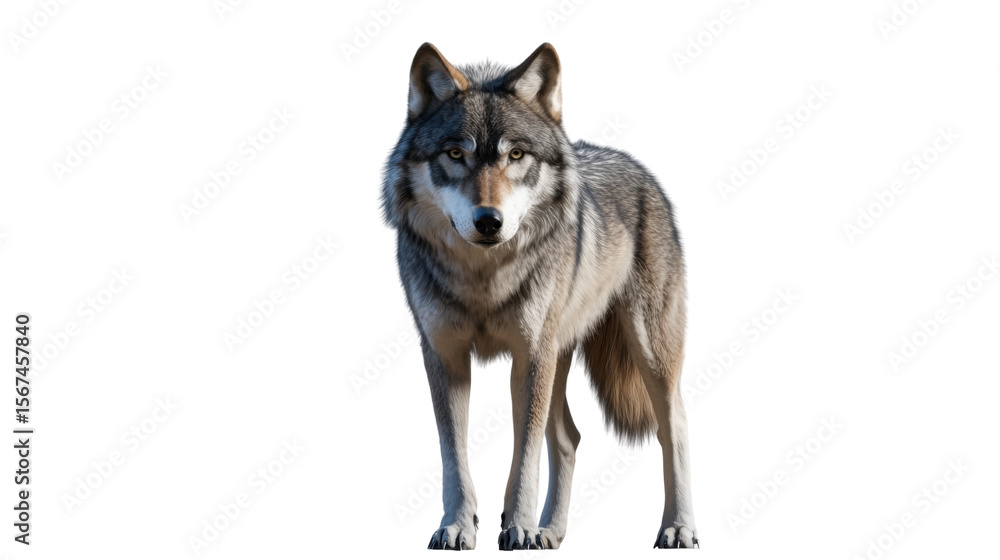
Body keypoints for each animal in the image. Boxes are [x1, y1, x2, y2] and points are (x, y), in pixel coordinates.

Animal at [381, 43, 698, 550]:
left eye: (516, 154)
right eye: (455, 153)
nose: (488, 221)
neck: (484, 278)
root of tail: (640, 169)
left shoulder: (530, 356)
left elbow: (524, 456)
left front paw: (519, 527)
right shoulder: (445, 355)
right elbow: (454, 457)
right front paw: (458, 526)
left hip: (646, 352)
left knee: (675, 429)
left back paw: (679, 527)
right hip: (560, 356)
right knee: (569, 437)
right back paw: (553, 531)